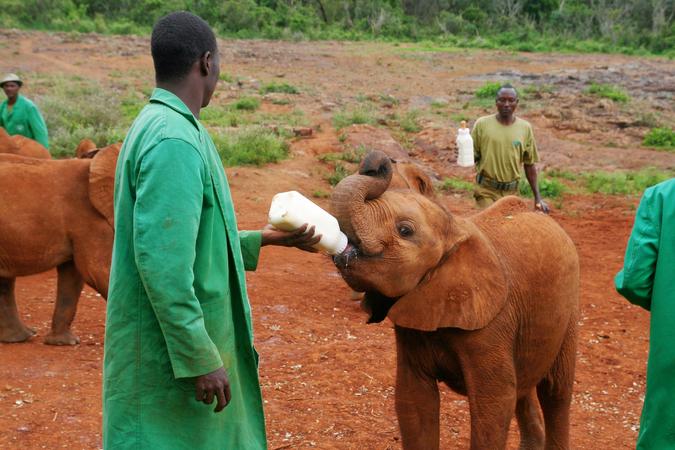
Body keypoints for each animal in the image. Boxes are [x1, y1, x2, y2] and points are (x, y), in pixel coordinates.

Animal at [331, 151, 579, 449]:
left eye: (405, 231)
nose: (377, 161)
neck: (453, 230)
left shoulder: (493, 323)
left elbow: (495, 404)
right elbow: (413, 399)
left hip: (569, 310)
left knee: (556, 391)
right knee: (526, 385)